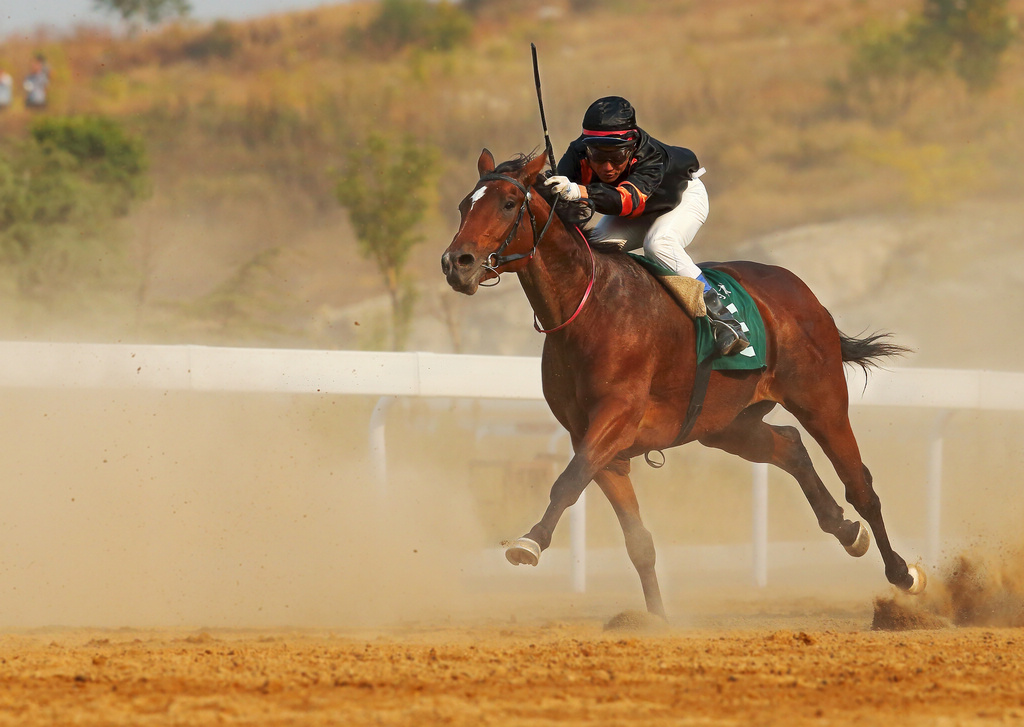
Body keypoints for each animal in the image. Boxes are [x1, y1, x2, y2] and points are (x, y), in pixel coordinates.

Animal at [436, 149, 925, 622]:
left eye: (508, 203)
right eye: (463, 205)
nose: (456, 263)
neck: (589, 308)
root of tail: (801, 291)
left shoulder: (616, 419)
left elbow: (567, 481)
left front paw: (530, 542)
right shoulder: (596, 441)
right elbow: (637, 540)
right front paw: (657, 620)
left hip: (821, 400)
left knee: (860, 485)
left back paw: (902, 574)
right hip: (727, 424)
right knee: (788, 445)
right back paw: (845, 530)